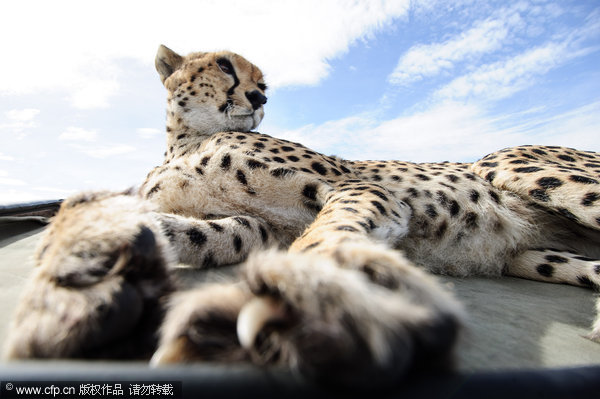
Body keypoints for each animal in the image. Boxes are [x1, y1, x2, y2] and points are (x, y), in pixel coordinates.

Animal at [4, 44, 600, 388]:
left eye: (263, 81)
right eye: (224, 65)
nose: (259, 96)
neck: (187, 141)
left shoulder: (352, 188)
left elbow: (323, 236)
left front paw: (309, 302)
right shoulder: (252, 227)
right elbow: (189, 231)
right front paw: (89, 255)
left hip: (508, 163)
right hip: (537, 257)